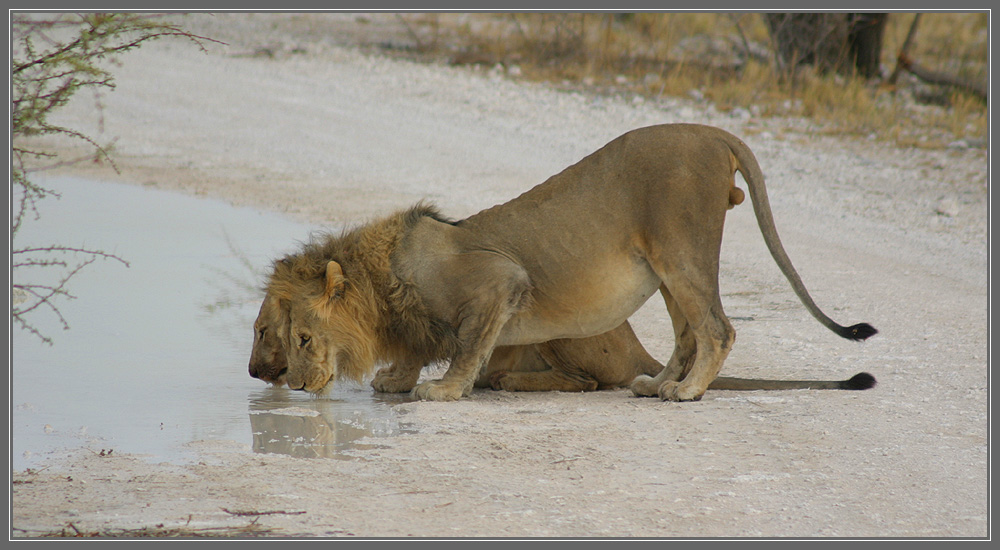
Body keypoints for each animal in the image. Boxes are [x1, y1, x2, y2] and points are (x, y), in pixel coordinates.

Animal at [256, 124, 876, 402]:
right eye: (277, 334)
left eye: (299, 338)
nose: (294, 383)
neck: (380, 283)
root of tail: (712, 131)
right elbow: (420, 349)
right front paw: (397, 380)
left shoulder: (500, 282)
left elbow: (468, 345)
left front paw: (444, 391)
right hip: (666, 267)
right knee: (687, 334)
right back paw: (656, 384)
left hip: (682, 251)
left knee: (717, 329)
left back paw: (687, 392)